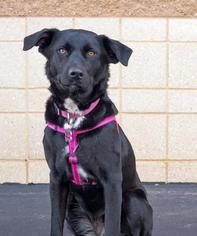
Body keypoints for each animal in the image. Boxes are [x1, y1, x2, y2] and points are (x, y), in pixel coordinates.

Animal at [23, 28, 152, 235]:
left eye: (91, 53)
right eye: (62, 50)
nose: (76, 74)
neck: (74, 117)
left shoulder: (112, 180)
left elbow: (113, 226)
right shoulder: (56, 178)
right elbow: (55, 223)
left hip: (134, 200)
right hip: (72, 206)